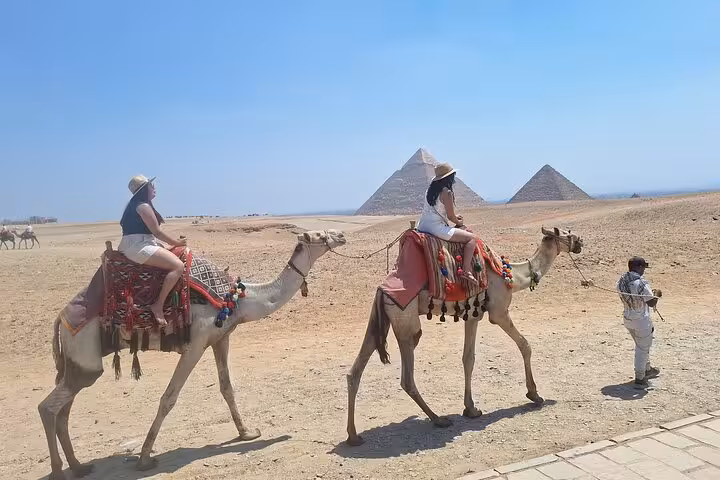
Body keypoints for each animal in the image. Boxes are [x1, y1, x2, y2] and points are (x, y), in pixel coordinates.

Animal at [38, 229, 346, 480]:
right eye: (319, 235)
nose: (341, 235)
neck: (238, 299)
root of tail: (61, 317)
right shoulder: (196, 344)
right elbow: (168, 399)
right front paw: (144, 459)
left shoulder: (221, 339)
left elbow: (227, 388)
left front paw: (247, 432)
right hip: (84, 352)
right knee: (49, 407)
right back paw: (59, 471)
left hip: (77, 362)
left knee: (64, 408)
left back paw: (79, 467)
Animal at [345, 227, 583, 446]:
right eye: (567, 233)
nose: (580, 241)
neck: (511, 276)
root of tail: (381, 291)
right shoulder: (498, 312)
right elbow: (525, 345)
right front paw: (534, 395)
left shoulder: (473, 315)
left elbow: (468, 358)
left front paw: (470, 409)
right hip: (406, 323)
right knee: (407, 378)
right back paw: (438, 419)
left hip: (379, 322)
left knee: (354, 372)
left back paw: (353, 436)